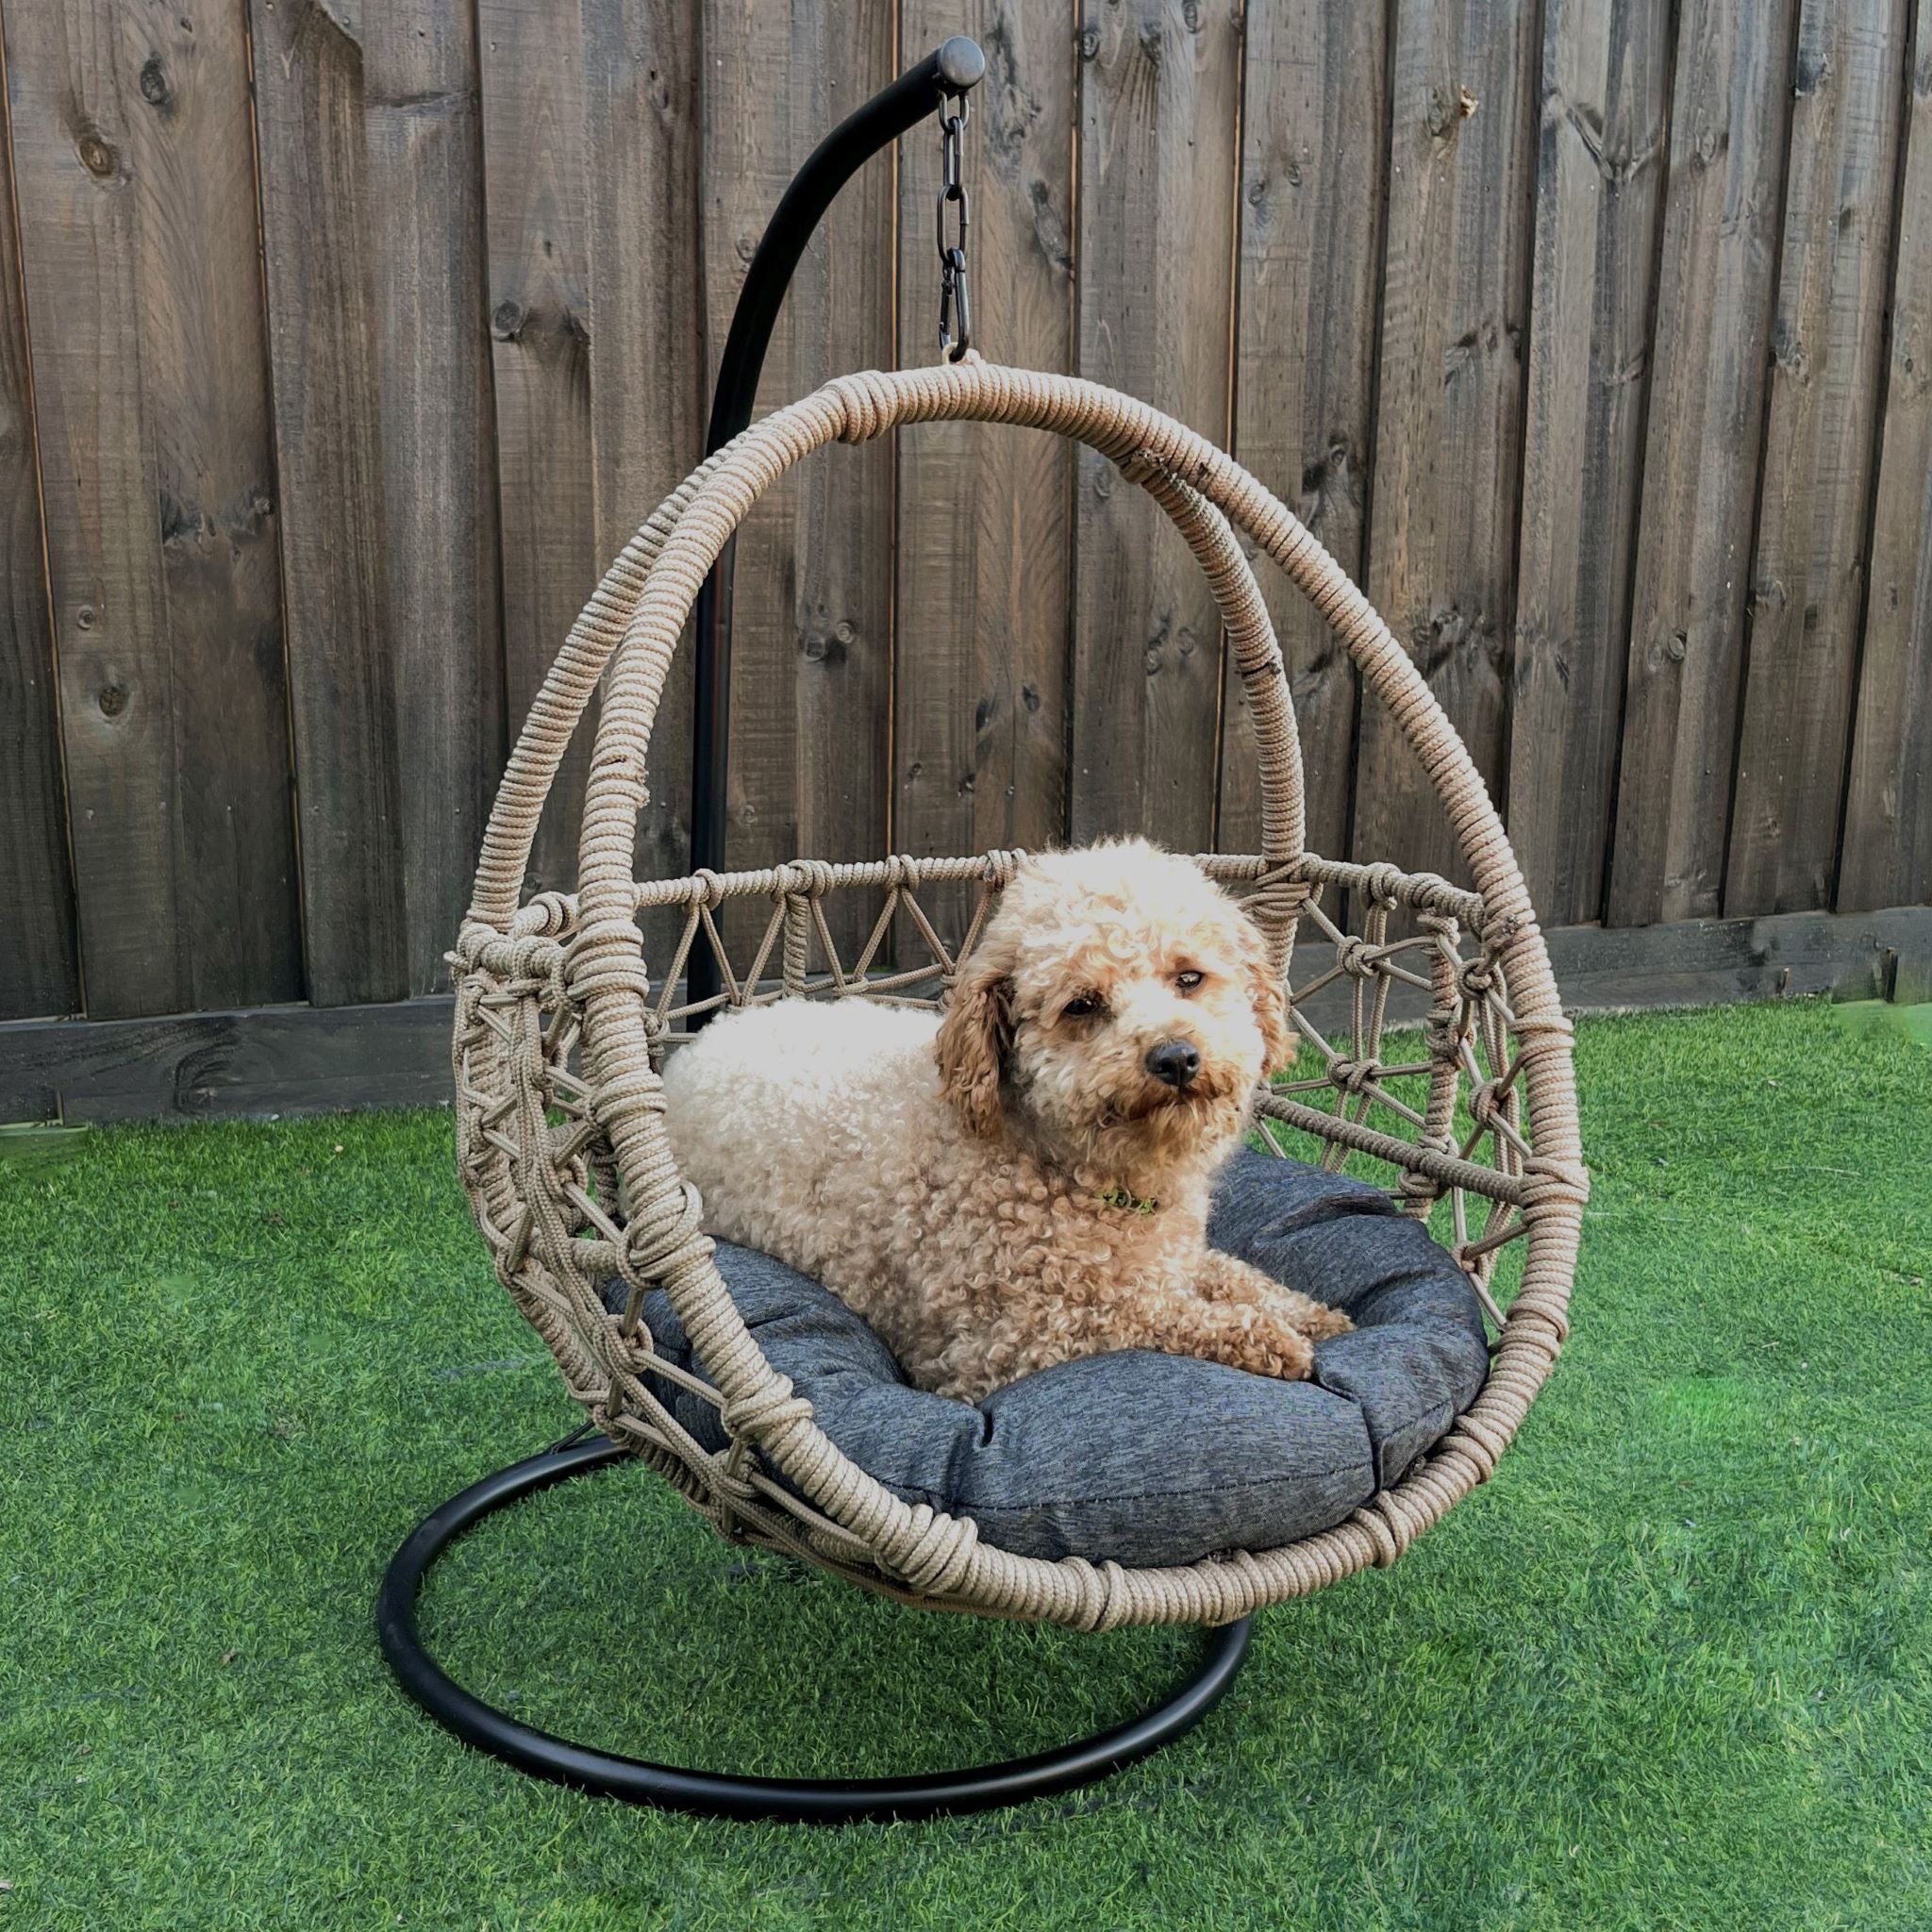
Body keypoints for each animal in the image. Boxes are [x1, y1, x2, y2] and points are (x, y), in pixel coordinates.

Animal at [664, 838, 1359, 1398]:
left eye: (1189, 977)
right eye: (1083, 1005)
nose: (1176, 1057)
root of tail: (689, 1054)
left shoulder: (1177, 1260)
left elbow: (1230, 1273)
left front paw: (1310, 1314)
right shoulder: (1005, 1346)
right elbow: (1145, 1316)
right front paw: (1271, 1340)